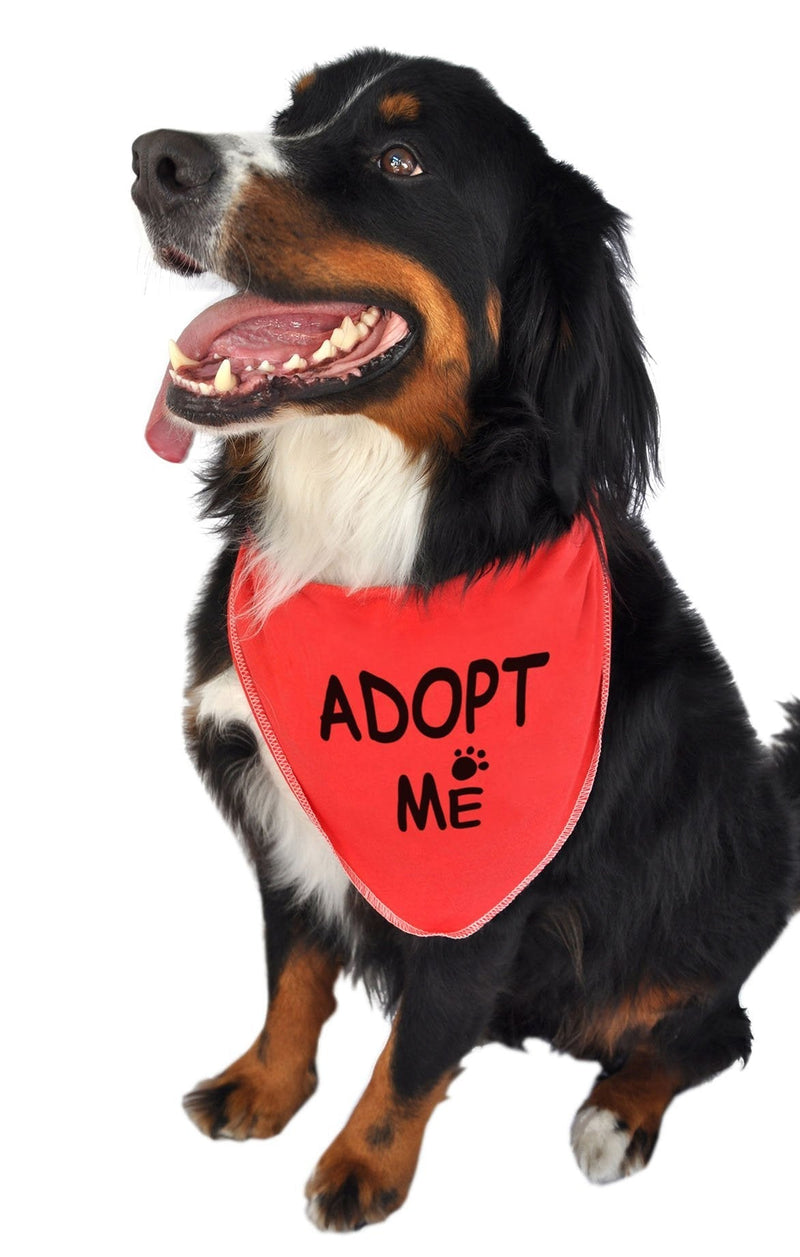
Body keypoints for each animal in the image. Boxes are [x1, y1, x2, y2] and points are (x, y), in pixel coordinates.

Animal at [132, 46, 800, 1226]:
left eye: (401, 159)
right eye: (289, 113)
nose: (154, 160)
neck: (371, 528)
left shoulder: (482, 874)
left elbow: (416, 1044)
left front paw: (361, 1168)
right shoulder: (277, 809)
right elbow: (292, 973)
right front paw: (264, 1086)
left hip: (695, 909)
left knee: (709, 1026)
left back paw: (614, 1116)